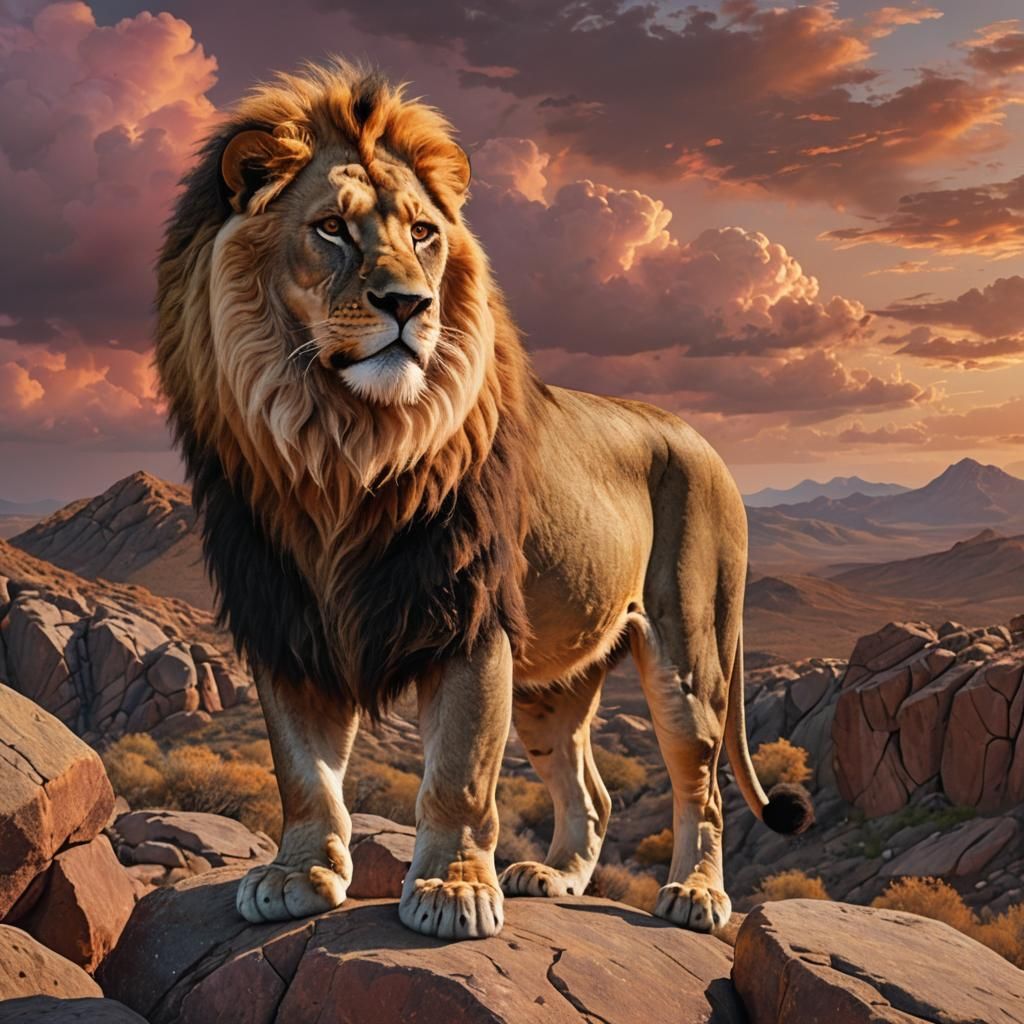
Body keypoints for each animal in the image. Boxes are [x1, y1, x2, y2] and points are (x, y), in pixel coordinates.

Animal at [155, 60, 812, 942]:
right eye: (331, 228)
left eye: (423, 234)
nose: (409, 304)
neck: (339, 445)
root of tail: (699, 439)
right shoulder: (287, 621)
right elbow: (301, 771)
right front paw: (297, 876)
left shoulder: (467, 614)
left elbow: (459, 771)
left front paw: (451, 890)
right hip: (552, 685)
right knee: (592, 792)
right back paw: (556, 876)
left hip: (689, 651)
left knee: (700, 782)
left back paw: (695, 895)